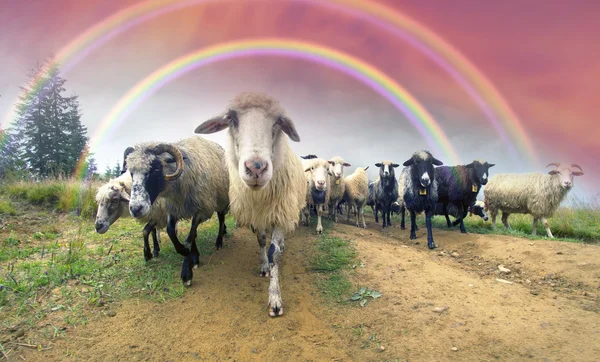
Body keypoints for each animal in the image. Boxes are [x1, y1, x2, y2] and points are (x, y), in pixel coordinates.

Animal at [126, 137, 230, 288]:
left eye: (156, 168)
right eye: (131, 172)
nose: (135, 209)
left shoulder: (203, 209)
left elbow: (189, 237)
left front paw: (187, 270)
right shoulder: (174, 209)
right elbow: (172, 231)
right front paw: (192, 256)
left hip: (221, 200)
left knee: (221, 219)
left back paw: (219, 241)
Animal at [195, 92, 308, 316]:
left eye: (279, 121)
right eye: (231, 118)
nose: (256, 168)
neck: (259, 195)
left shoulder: (280, 212)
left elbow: (274, 253)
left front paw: (275, 299)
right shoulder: (257, 214)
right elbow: (262, 241)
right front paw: (264, 266)